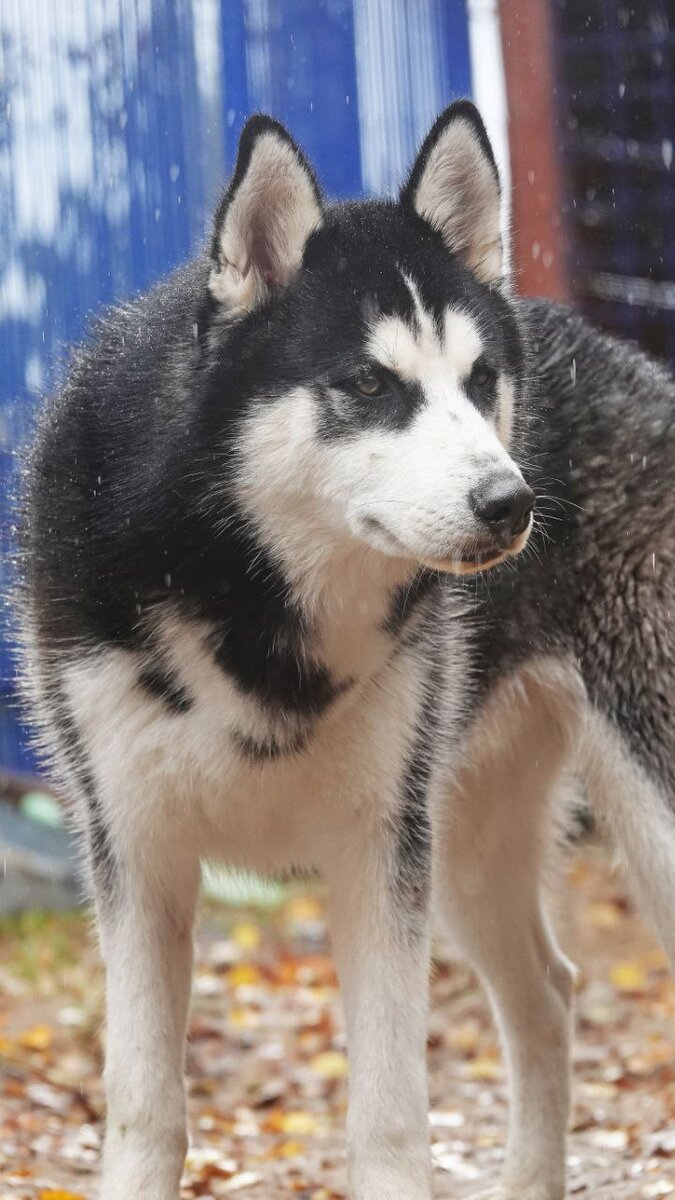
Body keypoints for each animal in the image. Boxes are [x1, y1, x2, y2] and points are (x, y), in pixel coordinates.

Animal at [18, 103, 667, 1200]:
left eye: (480, 381)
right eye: (368, 383)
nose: (511, 502)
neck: (249, 595)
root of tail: (629, 362)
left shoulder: (378, 856)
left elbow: (391, 1121)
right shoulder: (136, 854)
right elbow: (146, 1109)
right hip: (467, 851)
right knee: (548, 994)